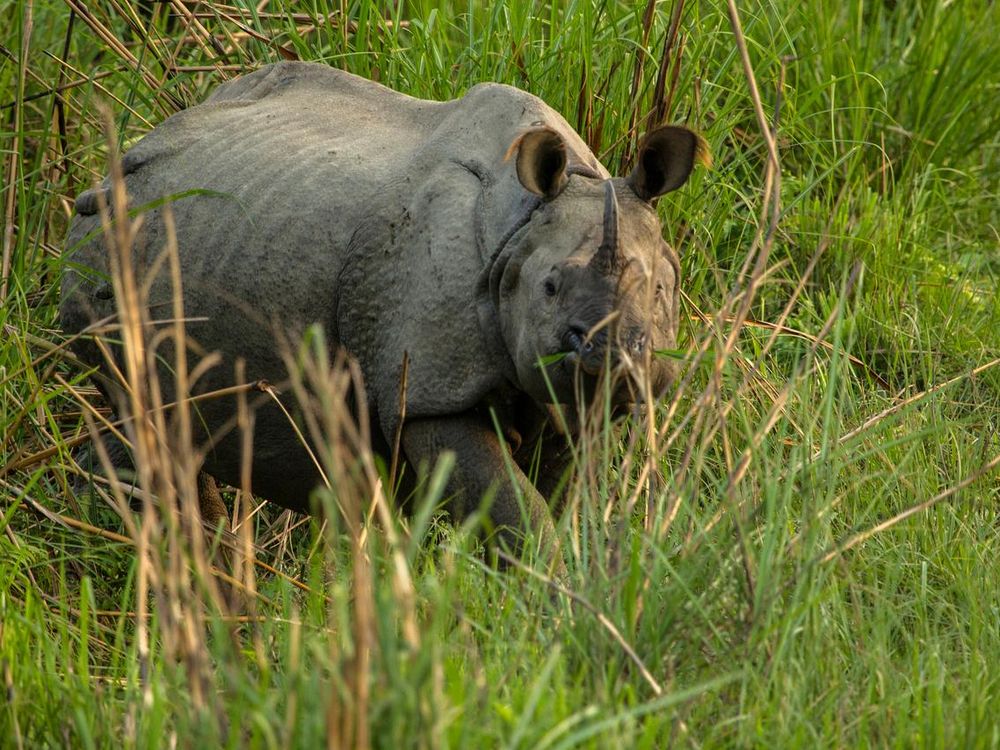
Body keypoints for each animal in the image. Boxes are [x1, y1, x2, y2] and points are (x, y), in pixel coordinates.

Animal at [62, 61, 704, 568]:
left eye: (663, 289)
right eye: (549, 287)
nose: (613, 354)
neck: (521, 230)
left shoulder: (568, 400)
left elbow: (556, 497)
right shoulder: (426, 390)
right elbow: (517, 513)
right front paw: (542, 597)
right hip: (111, 243)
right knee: (143, 417)